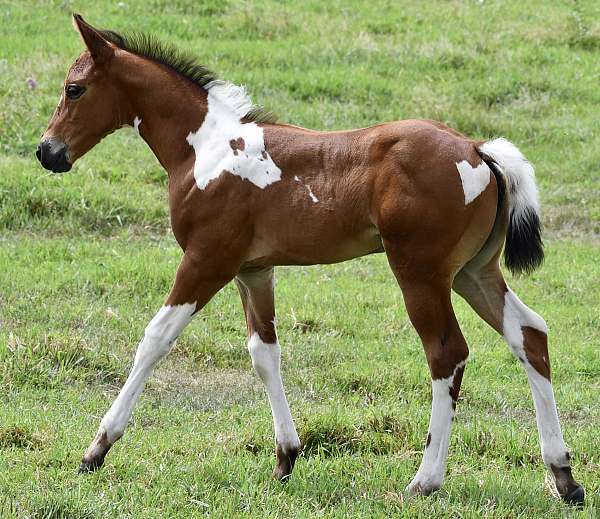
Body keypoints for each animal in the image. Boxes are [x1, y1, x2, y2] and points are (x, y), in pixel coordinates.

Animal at [35, 15, 584, 504]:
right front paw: (286, 456)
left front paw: (97, 448)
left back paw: (425, 481)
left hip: (420, 272)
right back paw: (564, 477)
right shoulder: (253, 270)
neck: (205, 149)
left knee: (447, 354)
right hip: (473, 272)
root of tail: (476, 148)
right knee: (530, 335)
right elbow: (264, 353)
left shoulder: (207, 260)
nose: (47, 152)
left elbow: (154, 338)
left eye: (75, 89)